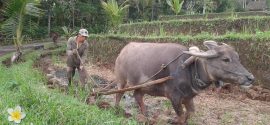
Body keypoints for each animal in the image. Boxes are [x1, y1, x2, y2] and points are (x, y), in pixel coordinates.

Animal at [115, 40, 254, 124]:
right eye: (226, 59)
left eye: (237, 58)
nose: (251, 78)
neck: (190, 69)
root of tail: (122, 51)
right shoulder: (175, 98)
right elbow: (181, 116)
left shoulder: (188, 97)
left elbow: (190, 113)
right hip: (121, 81)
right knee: (119, 94)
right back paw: (116, 110)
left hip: (142, 86)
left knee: (138, 96)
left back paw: (145, 116)